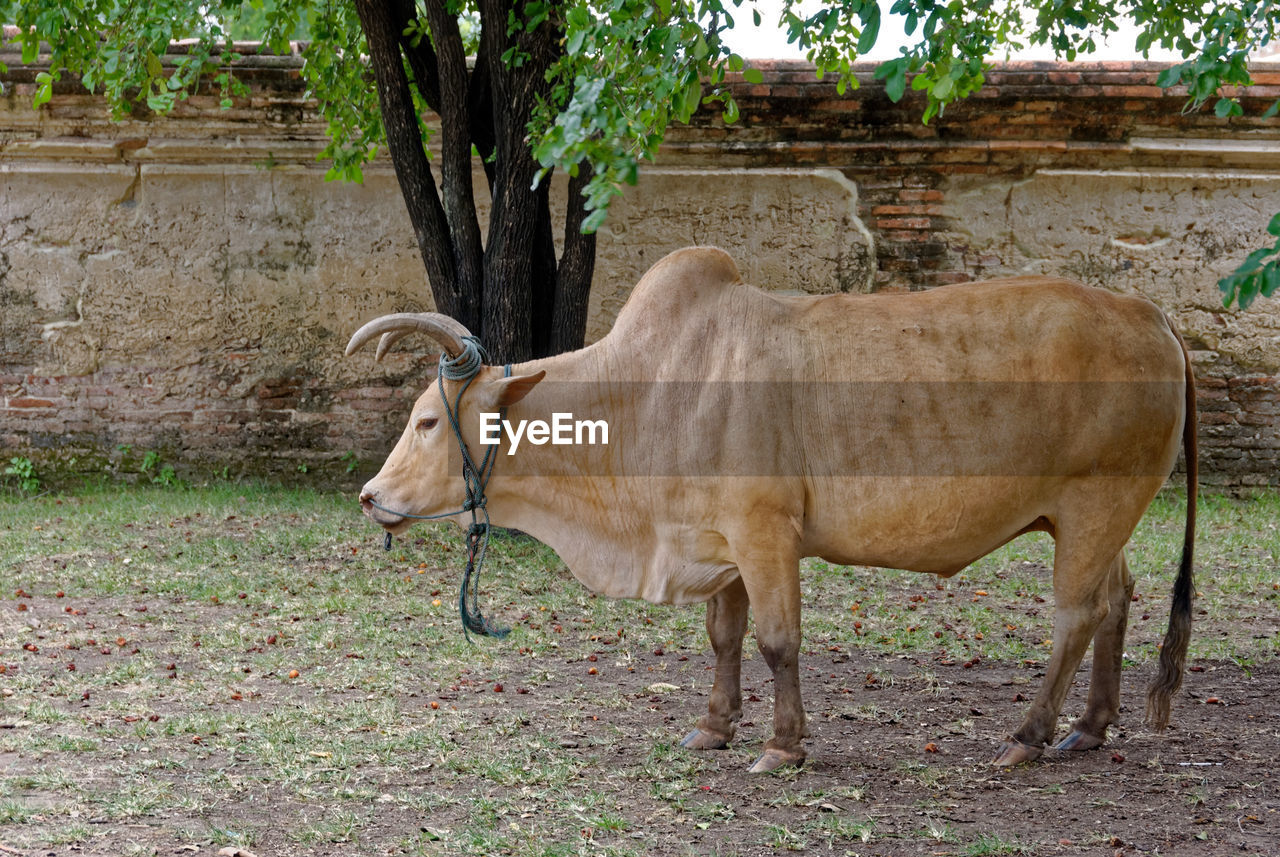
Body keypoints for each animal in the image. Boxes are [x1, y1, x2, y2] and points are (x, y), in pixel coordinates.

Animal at [345, 245, 1192, 777]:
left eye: (428, 419)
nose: (371, 497)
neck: (650, 389)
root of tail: (1150, 314)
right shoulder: (716, 542)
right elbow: (725, 638)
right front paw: (714, 727)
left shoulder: (765, 533)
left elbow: (778, 642)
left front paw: (783, 745)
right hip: (1099, 517)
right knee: (1118, 600)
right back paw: (1090, 726)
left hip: (1094, 505)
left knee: (1076, 615)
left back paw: (1029, 734)